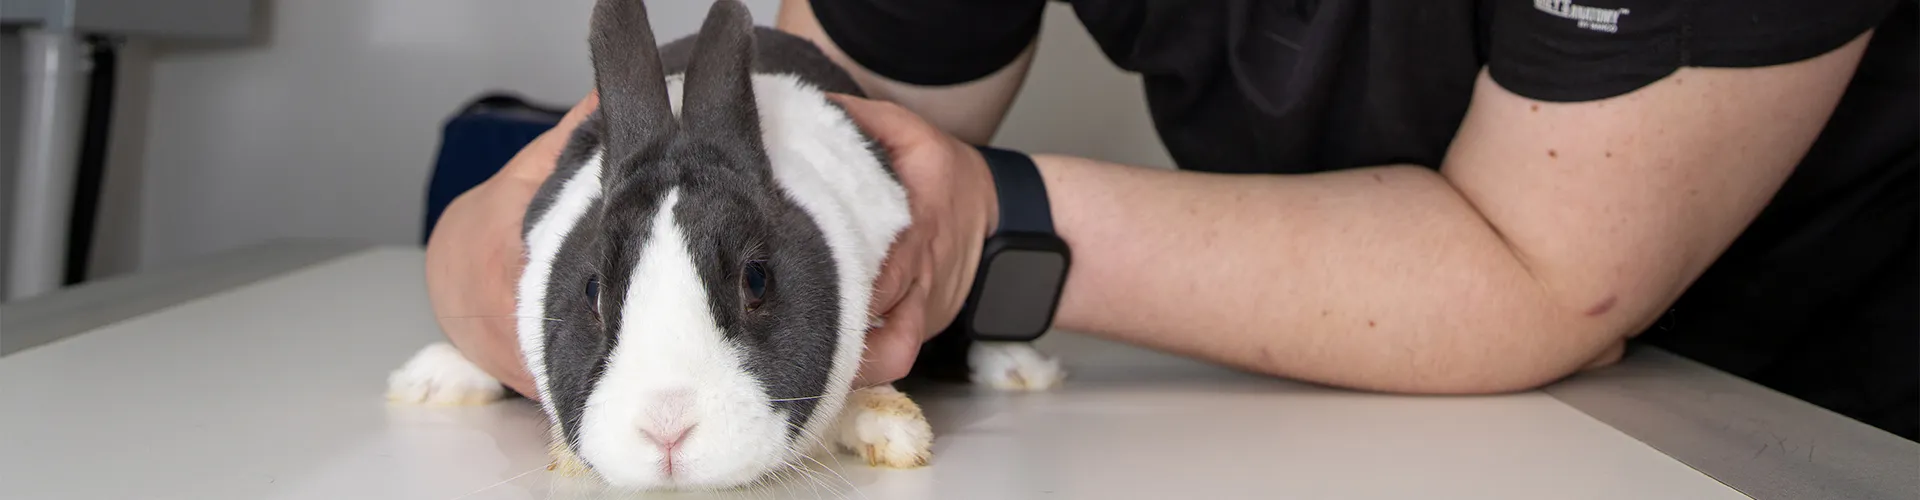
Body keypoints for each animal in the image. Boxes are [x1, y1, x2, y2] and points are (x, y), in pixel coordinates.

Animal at [385, 0, 1065, 491]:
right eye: (594, 291)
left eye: (756, 280)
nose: (665, 431)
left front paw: (890, 429)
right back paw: (431, 377)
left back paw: (1019, 368)